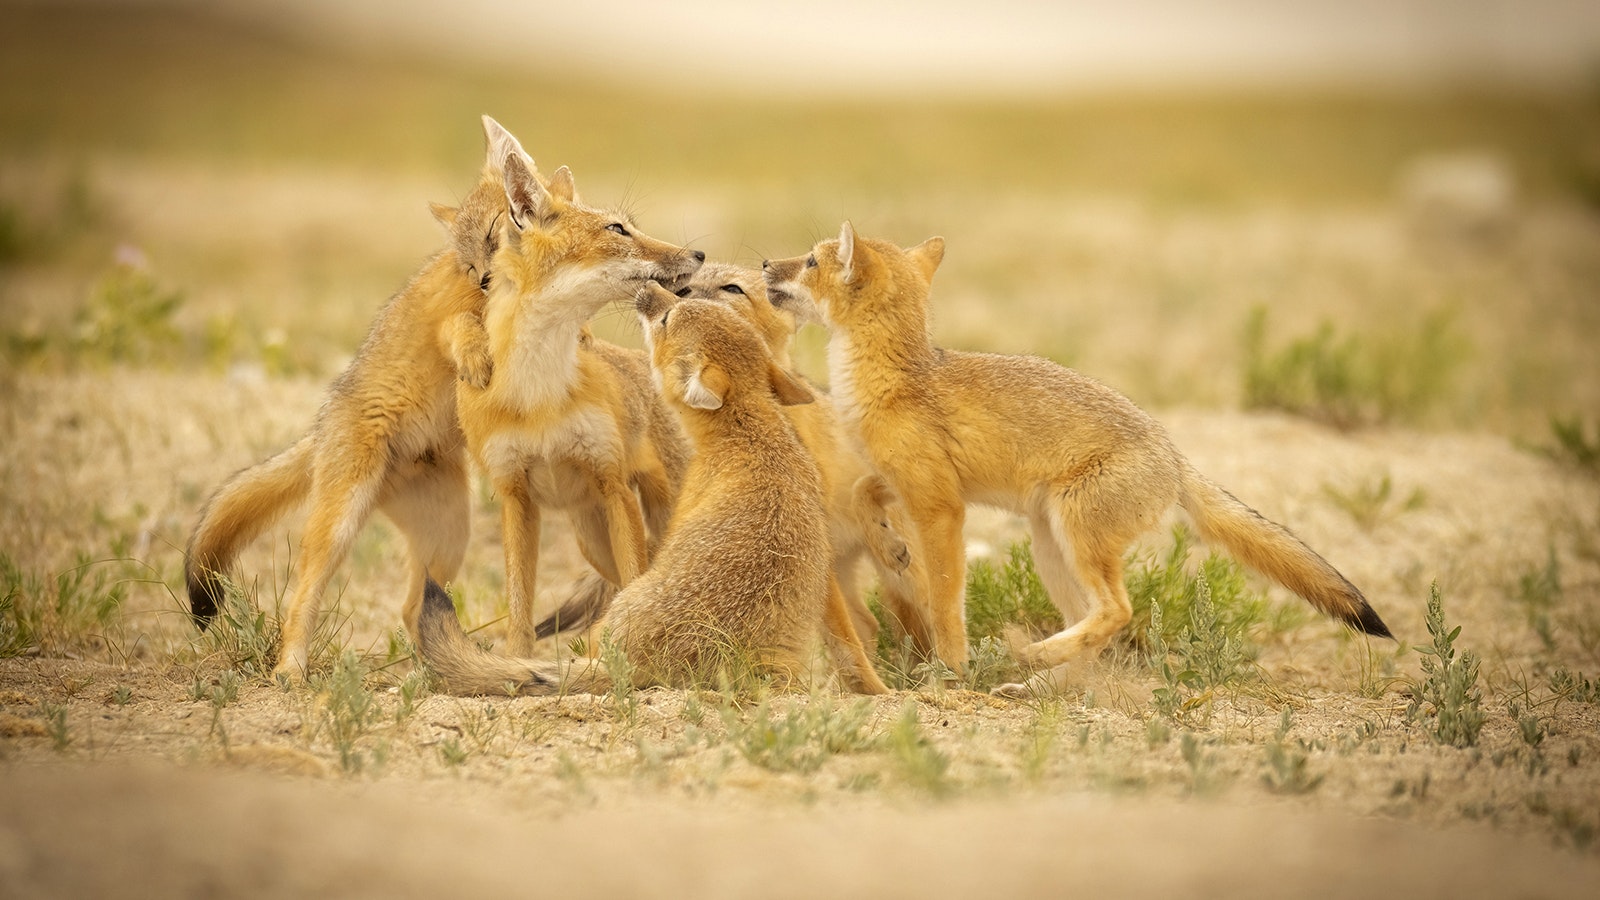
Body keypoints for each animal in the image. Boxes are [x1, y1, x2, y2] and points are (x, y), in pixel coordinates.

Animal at [184, 113, 524, 672]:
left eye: (494, 236)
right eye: (469, 266)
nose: (486, 281)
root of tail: (320, 428)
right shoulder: (449, 320)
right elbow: (462, 329)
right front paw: (477, 360)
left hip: (451, 538)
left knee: (415, 609)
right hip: (341, 526)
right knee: (302, 599)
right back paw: (291, 669)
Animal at [454, 143, 697, 656]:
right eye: (618, 229)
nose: (699, 253)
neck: (538, 394)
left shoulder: (613, 483)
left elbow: (634, 582)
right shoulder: (515, 495)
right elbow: (519, 609)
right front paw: (516, 666)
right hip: (592, 539)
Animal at [761, 222, 1388, 695]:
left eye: (810, 261)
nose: (766, 262)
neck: (894, 378)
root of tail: (1173, 452)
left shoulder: (942, 507)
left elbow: (942, 602)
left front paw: (950, 672)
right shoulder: (913, 481)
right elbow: (864, 493)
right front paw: (890, 546)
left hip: (1075, 538)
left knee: (1118, 612)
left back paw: (1036, 659)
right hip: (1051, 547)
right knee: (1092, 627)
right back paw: (1041, 684)